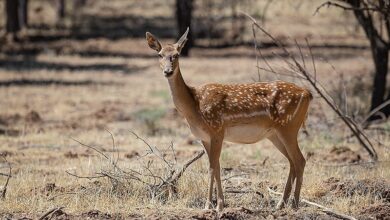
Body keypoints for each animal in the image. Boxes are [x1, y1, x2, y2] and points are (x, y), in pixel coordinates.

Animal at [146, 27, 314, 211]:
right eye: (159, 54)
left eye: (176, 55)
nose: (167, 71)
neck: (194, 106)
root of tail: (307, 93)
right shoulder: (204, 138)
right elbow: (217, 167)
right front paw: (220, 203)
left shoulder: (217, 130)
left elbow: (212, 168)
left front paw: (209, 205)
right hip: (275, 134)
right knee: (292, 161)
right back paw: (280, 203)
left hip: (289, 126)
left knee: (300, 160)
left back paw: (294, 204)